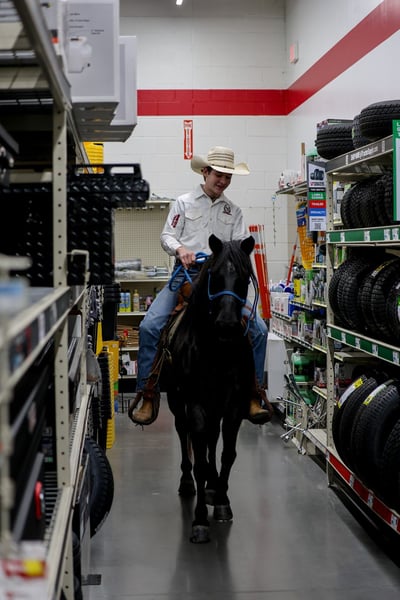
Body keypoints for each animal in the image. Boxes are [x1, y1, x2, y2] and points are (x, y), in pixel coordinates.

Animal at [159, 233, 262, 543]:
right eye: (215, 276)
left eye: (243, 276)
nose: (227, 323)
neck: (218, 348)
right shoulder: (195, 403)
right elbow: (200, 460)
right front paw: (200, 520)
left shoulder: (234, 405)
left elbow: (227, 454)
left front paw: (222, 502)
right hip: (177, 400)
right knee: (185, 435)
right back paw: (188, 483)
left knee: (212, 440)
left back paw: (213, 487)